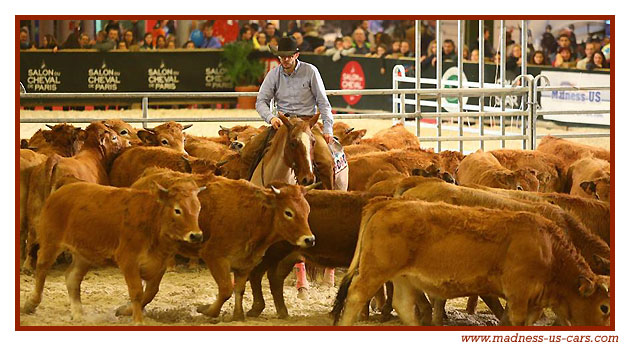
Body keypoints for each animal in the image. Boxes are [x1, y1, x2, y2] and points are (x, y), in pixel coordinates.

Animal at [21, 180, 205, 324]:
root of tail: (62, 190)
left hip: (84, 255)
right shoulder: (128, 260)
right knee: (42, 268)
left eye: (198, 208)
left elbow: (150, 293)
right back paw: (31, 303)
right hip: (51, 243)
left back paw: (78, 313)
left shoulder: (159, 266)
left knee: (72, 278)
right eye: (177, 210)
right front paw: (138, 321)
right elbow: (137, 292)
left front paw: (124, 310)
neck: (153, 220)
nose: (196, 235)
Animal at [334, 199, 608, 326]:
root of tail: (387, 203)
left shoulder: (533, 304)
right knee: (356, 295)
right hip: (374, 272)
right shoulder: (518, 297)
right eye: (604, 307)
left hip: (402, 278)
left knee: (402, 305)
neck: (549, 250)